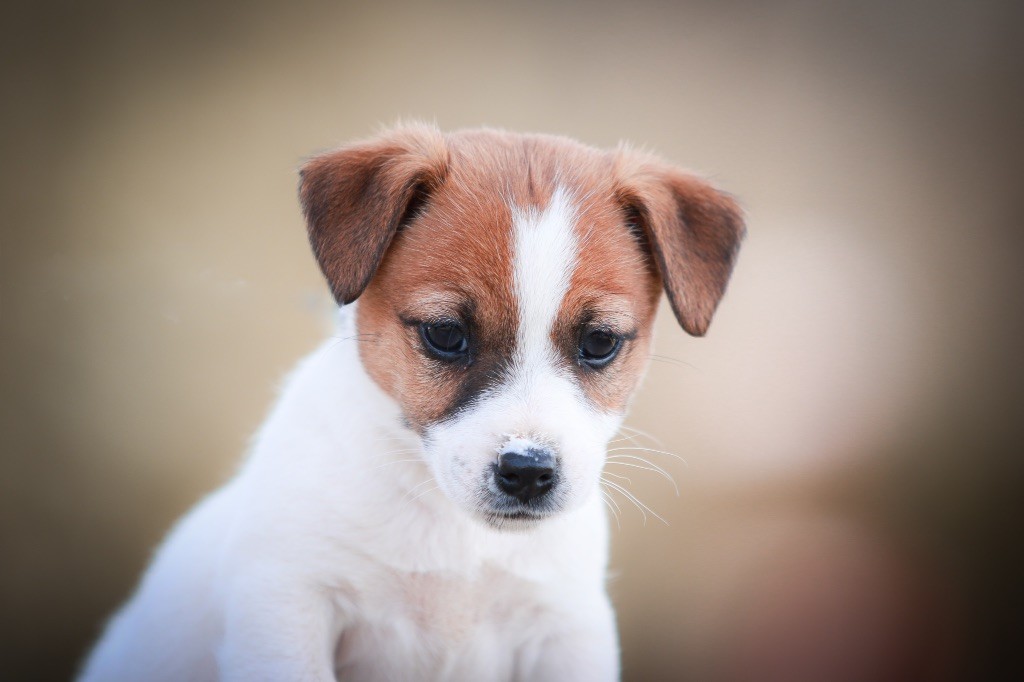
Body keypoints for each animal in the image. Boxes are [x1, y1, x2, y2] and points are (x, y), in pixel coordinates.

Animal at [77, 123, 745, 679]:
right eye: (445, 334)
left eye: (600, 343)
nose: (528, 472)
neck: (455, 537)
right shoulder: (288, 603)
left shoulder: (565, 629)